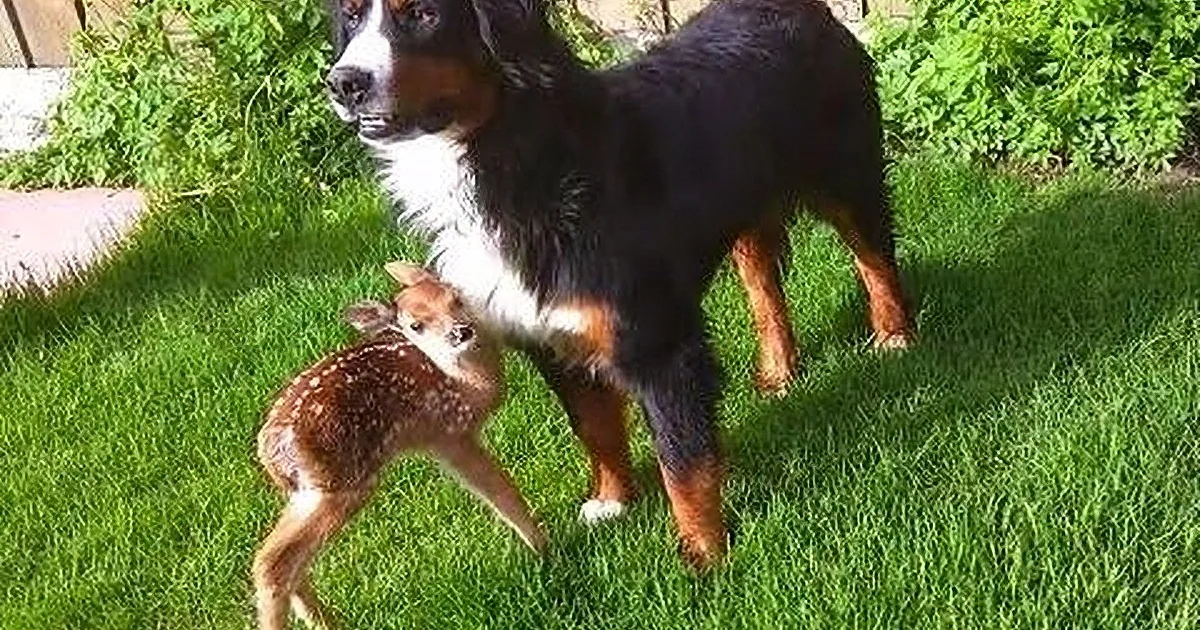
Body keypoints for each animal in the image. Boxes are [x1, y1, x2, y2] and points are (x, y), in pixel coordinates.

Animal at [252, 261, 545, 630]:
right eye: (415, 325)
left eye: (456, 297)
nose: (461, 332)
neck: (466, 384)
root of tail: (270, 454)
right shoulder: (448, 434)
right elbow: (501, 493)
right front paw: (546, 551)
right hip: (344, 482)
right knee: (273, 563)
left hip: (309, 491)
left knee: (290, 561)